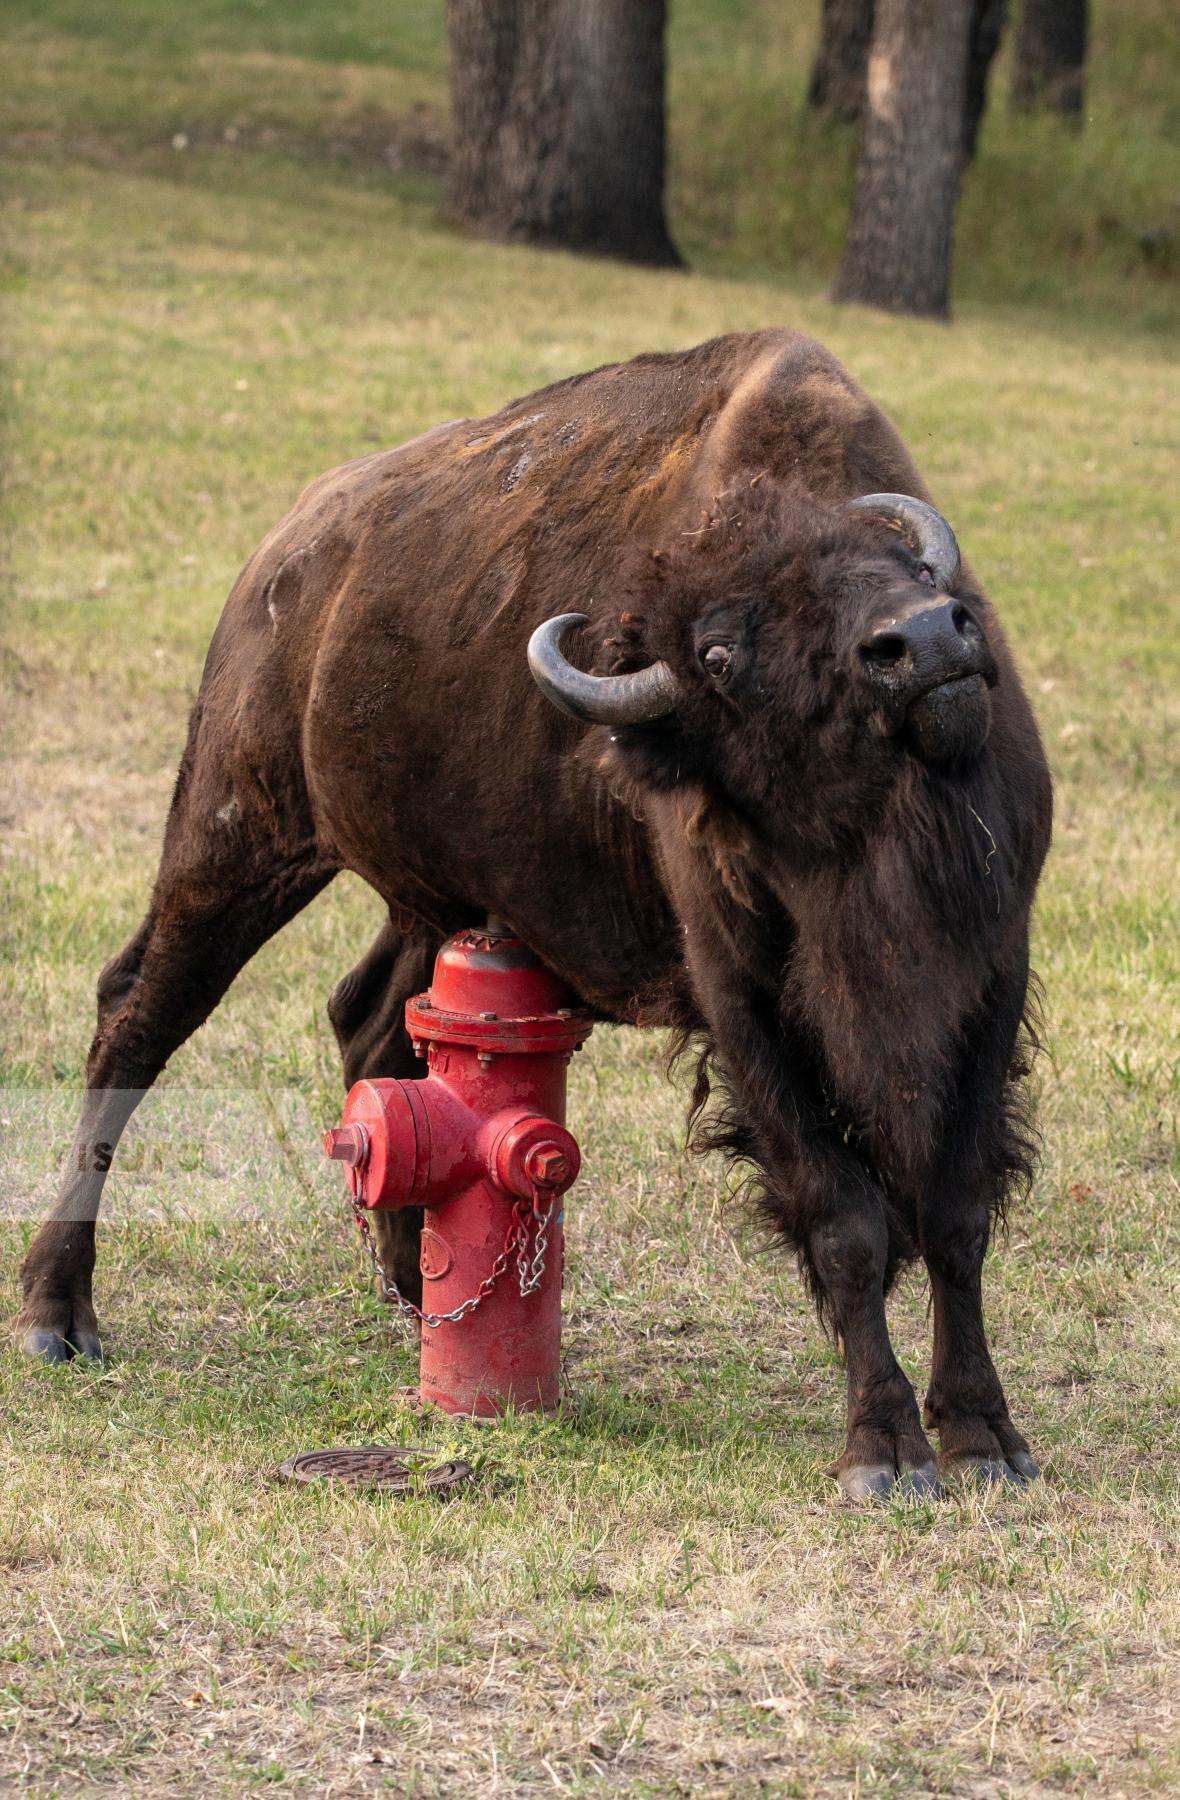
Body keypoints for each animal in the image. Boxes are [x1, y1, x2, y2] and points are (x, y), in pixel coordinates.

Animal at [16, 331, 1050, 1497]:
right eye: (721, 655)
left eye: (906, 569)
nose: (927, 641)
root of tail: (287, 555)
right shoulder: (744, 1003)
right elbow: (847, 1223)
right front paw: (883, 1454)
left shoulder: (990, 975)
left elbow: (957, 1213)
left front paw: (986, 1440)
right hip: (238, 835)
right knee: (135, 1024)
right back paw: (59, 1314)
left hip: (437, 900)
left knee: (368, 1019)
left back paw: (411, 1292)